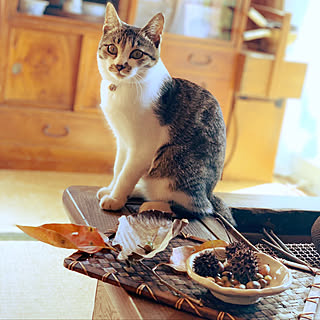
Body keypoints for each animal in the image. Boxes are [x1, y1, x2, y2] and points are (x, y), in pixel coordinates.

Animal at [95, 1, 235, 225]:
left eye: (137, 53)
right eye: (112, 48)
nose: (119, 65)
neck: (125, 88)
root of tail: (209, 193)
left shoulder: (142, 148)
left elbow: (126, 174)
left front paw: (115, 199)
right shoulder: (123, 141)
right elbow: (119, 168)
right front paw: (111, 190)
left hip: (175, 164)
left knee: (197, 210)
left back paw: (155, 205)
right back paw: (139, 190)